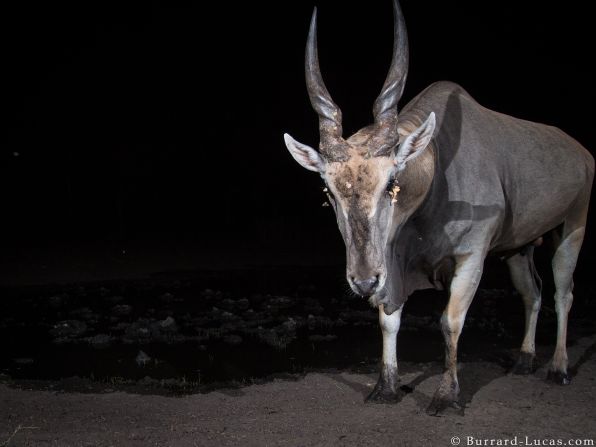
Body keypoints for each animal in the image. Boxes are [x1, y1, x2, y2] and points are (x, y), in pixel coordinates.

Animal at [282, 0, 592, 414]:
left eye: (392, 185)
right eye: (328, 192)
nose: (363, 281)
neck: (437, 165)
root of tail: (582, 154)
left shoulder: (471, 257)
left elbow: (450, 321)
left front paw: (447, 394)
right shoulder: (393, 260)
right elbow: (389, 318)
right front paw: (386, 388)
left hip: (573, 227)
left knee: (563, 292)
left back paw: (558, 368)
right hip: (519, 250)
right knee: (534, 292)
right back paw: (525, 359)